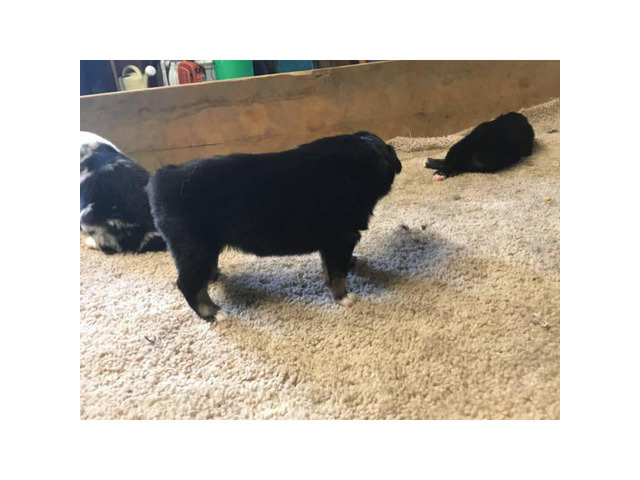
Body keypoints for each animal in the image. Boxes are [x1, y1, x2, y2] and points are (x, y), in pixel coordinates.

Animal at [147, 131, 402, 321]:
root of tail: (161, 178)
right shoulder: (340, 237)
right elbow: (336, 271)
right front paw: (344, 297)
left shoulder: (335, 242)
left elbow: (334, 265)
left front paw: (353, 264)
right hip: (194, 245)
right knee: (188, 283)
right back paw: (213, 313)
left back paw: (213, 276)